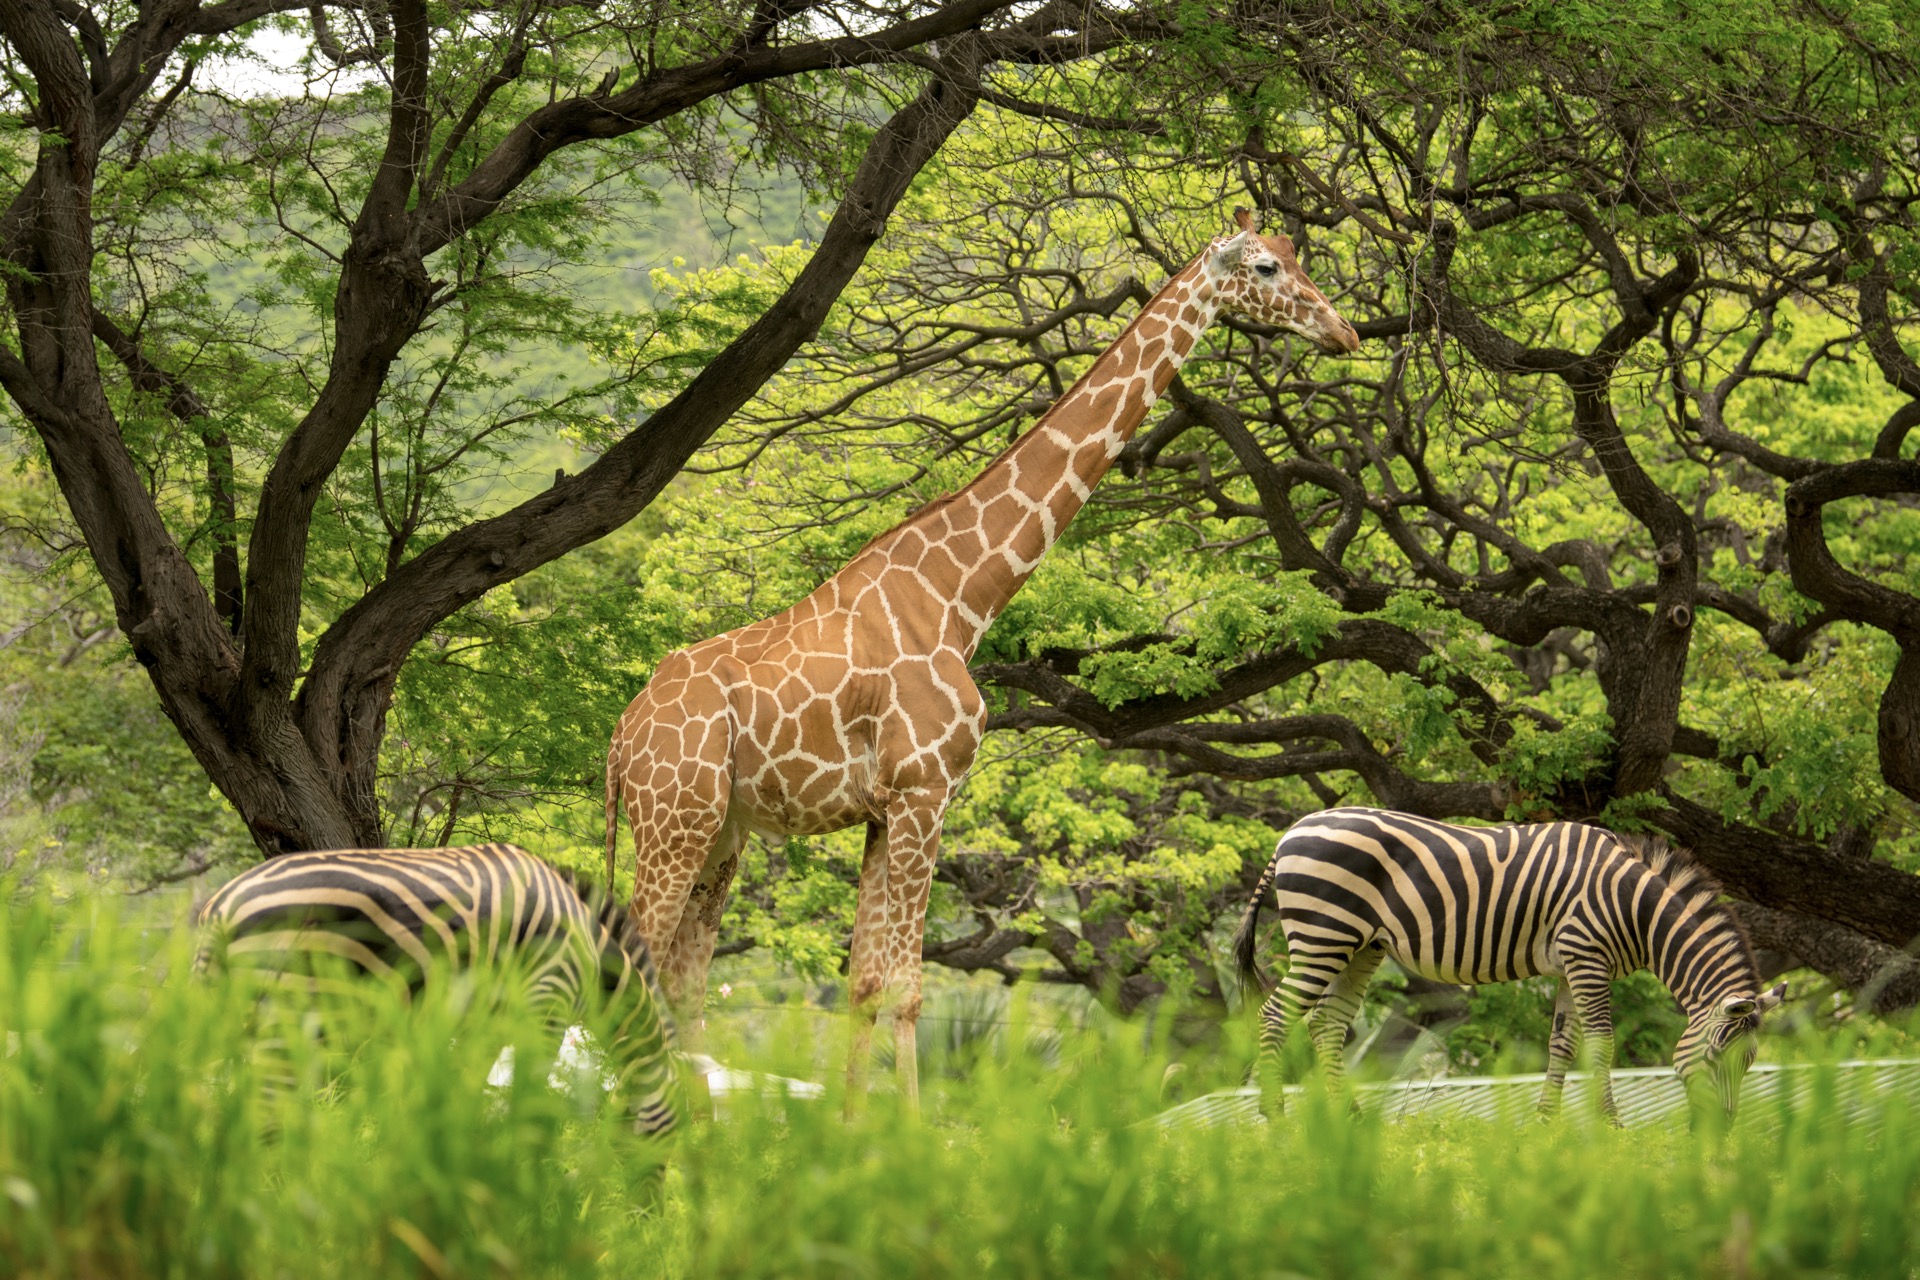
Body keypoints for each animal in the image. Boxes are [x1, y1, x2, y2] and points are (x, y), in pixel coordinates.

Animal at [200, 840, 683, 1143]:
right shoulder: (547, 1001)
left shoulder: (485, 1022)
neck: (590, 947)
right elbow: (525, 1104)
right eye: (672, 1136)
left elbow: (464, 1091)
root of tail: (220, 907)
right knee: (264, 1119)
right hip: (290, 1013)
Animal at [606, 205, 1359, 1105]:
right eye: (1266, 267)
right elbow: (906, 986)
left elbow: (863, 983)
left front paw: (850, 1128)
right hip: (674, 818)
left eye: (1296, 254)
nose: (1344, 330)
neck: (959, 597)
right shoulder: (925, 790)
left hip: (724, 831)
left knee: (682, 980)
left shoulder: (882, 809)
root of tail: (619, 738)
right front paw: (906, 1129)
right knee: (635, 966)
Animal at [1228, 809, 1781, 1120]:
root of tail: (1291, 832)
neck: (1634, 907)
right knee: (1276, 1015)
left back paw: (1351, 1116)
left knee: (1327, 1024)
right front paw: (1610, 1124)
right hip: (1324, 934)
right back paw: (1274, 1115)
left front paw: (1544, 1123)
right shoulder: (1587, 956)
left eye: (1750, 1062)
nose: (1721, 1132)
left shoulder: (1570, 964)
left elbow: (1563, 1044)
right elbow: (1601, 1044)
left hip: (1361, 946)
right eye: (1717, 1058)